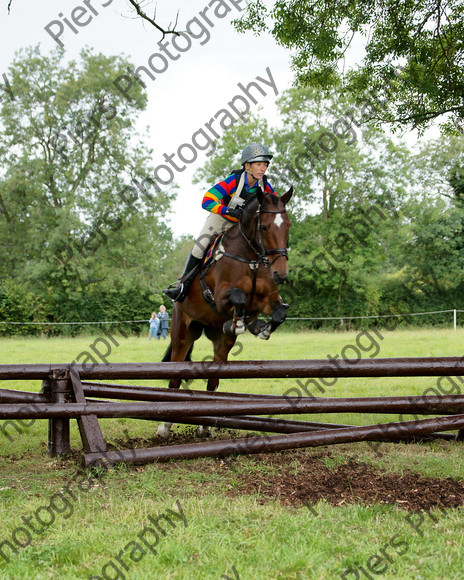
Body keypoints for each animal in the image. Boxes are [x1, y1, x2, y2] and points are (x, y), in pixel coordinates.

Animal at [158, 188, 292, 438]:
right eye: (264, 227)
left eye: (287, 225)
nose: (280, 274)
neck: (251, 258)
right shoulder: (220, 298)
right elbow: (238, 297)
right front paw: (239, 323)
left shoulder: (266, 299)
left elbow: (278, 312)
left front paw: (260, 328)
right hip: (182, 333)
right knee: (175, 378)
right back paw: (164, 426)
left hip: (220, 342)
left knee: (212, 382)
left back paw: (205, 426)